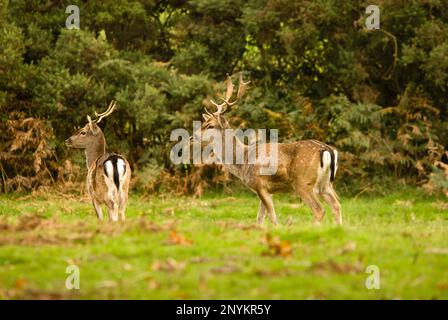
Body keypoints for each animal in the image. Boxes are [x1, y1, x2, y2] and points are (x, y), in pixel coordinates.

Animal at [198, 74, 342, 226]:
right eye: (204, 123)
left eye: (211, 125)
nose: (193, 135)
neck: (243, 161)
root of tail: (328, 150)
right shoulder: (268, 190)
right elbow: (260, 218)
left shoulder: (259, 184)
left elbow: (272, 218)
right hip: (326, 184)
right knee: (336, 205)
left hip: (303, 182)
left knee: (319, 210)